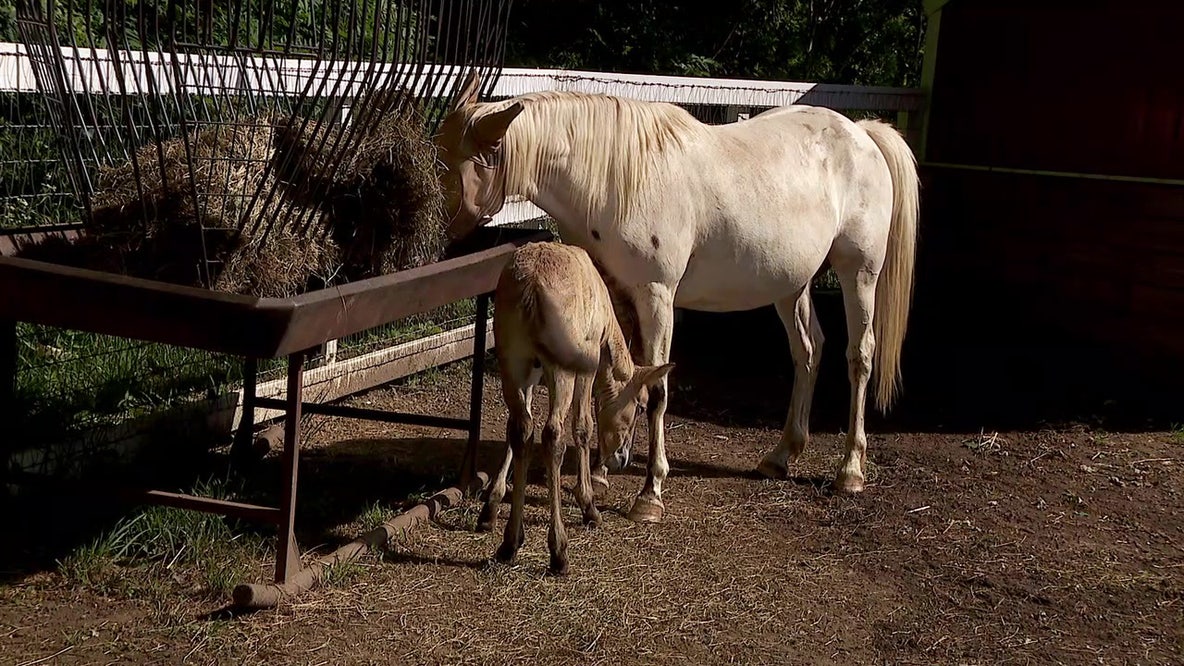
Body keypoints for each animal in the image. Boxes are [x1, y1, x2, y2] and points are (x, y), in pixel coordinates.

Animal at [435, 71, 919, 523]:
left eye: (459, 165)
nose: (443, 235)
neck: (614, 177)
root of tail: (862, 134)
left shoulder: (657, 298)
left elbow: (658, 389)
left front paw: (649, 492)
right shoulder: (617, 297)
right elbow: (619, 380)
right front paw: (601, 473)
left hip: (859, 273)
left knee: (859, 356)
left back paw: (850, 470)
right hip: (790, 285)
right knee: (807, 351)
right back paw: (782, 455)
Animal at [490, 240, 674, 573]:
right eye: (641, 406)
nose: (622, 458)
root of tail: (531, 285)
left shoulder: (530, 373)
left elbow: (519, 427)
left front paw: (491, 505)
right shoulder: (586, 366)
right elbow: (583, 427)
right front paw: (589, 505)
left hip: (511, 359)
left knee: (521, 429)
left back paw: (510, 542)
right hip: (560, 368)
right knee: (552, 434)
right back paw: (559, 550)